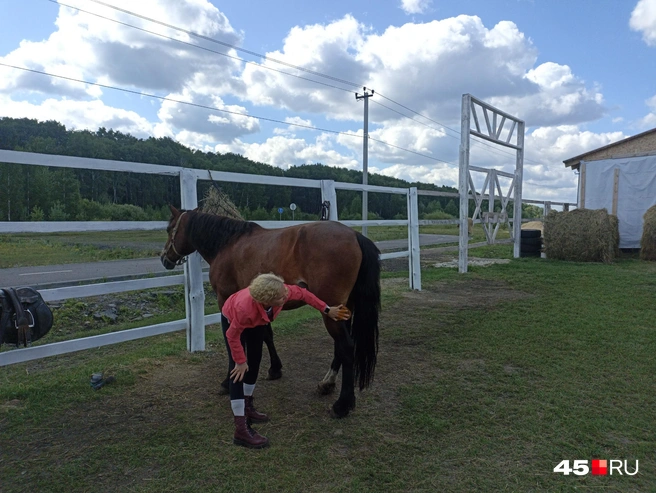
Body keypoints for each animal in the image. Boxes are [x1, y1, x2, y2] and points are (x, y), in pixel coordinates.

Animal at [160, 205, 381, 418]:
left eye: (169, 229)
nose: (164, 258)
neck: (228, 245)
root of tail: (355, 235)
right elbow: (266, 334)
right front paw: (275, 369)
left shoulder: (226, 302)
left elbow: (234, 342)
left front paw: (228, 381)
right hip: (343, 310)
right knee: (340, 346)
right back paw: (327, 384)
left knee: (346, 346)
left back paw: (342, 405)